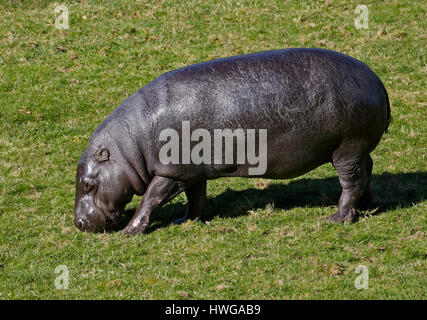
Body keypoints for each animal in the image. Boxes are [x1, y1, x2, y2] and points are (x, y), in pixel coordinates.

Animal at [74, 47, 392, 234]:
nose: (78, 223)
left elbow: (150, 200)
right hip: (358, 149)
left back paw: (336, 218)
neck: (129, 147)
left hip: (347, 149)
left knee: (350, 182)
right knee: (367, 171)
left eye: (88, 184)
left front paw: (129, 232)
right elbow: (196, 197)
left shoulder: (170, 172)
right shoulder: (191, 171)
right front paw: (186, 221)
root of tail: (379, 83)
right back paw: (369, 207)